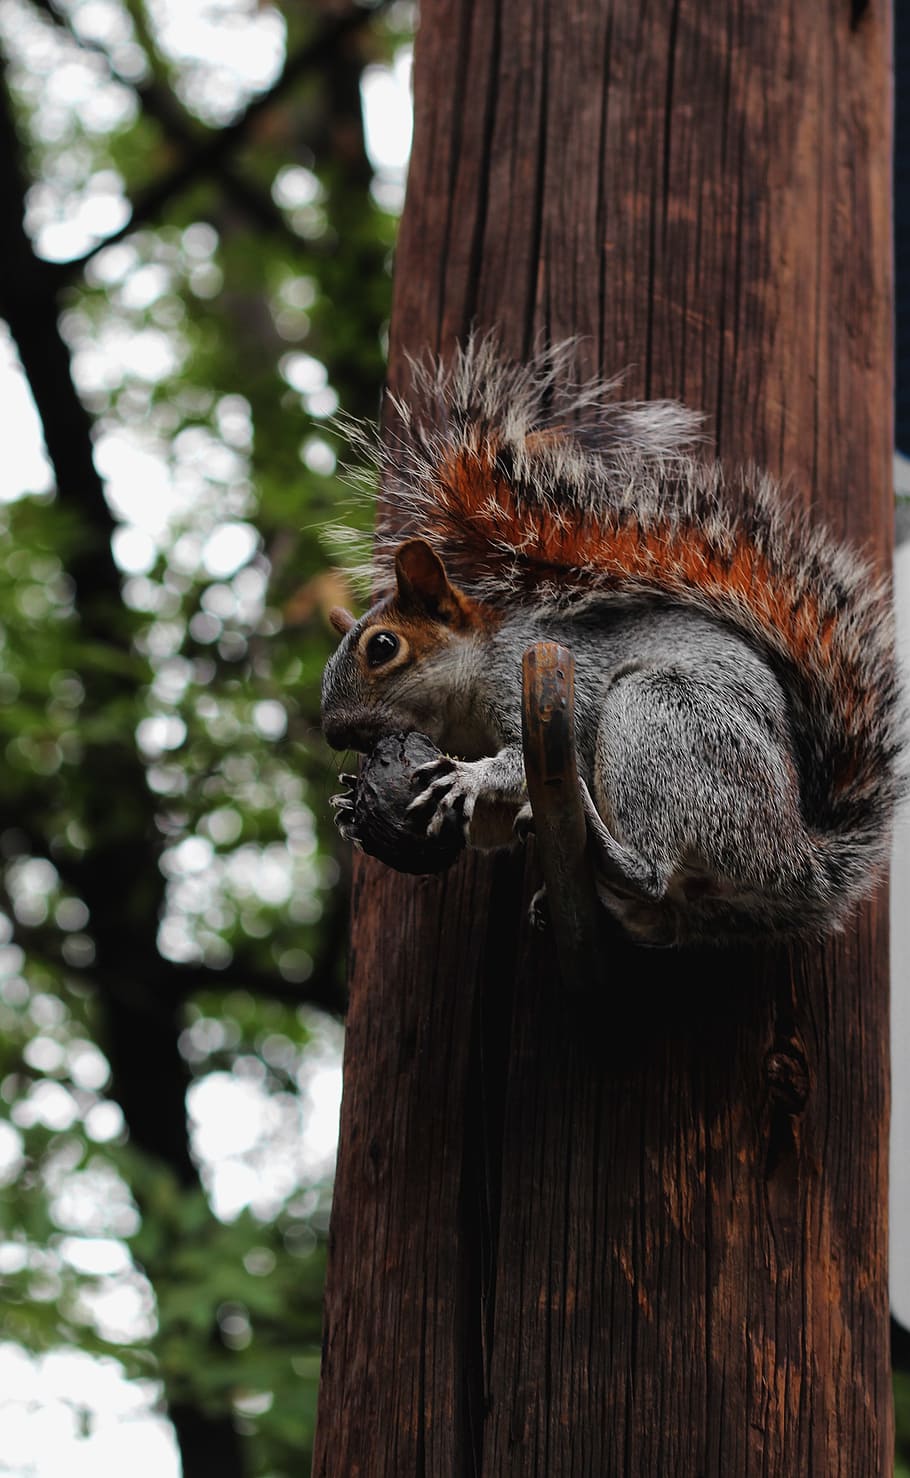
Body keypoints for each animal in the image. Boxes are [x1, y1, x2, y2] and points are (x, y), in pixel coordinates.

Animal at [321, 338, 902, 947]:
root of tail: (796, 859)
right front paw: (350, 802)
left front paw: (467, 775)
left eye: (383, 648)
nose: (334, 732)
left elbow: (534, 762)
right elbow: (490, 825)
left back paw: (610, 852)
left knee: (655, 869)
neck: (464, 708)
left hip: (664, 716)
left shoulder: (534, 683)